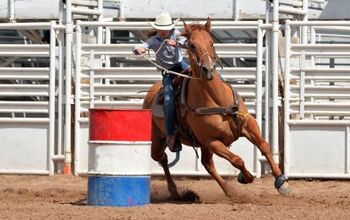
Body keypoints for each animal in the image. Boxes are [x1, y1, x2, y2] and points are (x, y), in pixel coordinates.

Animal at [142, 18, 290, 199]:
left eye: (211, 43)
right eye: (192, 45)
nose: (208, 69)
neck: (217, 100)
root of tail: (150, 94)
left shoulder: (248, 124)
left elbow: (264, 146)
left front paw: (281, 181)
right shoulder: (211, 141)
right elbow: (237, 160)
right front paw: (246, 177)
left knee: (206, 163)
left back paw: (227, 190)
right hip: (158, 139)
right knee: (162, 157)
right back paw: (174, 190)